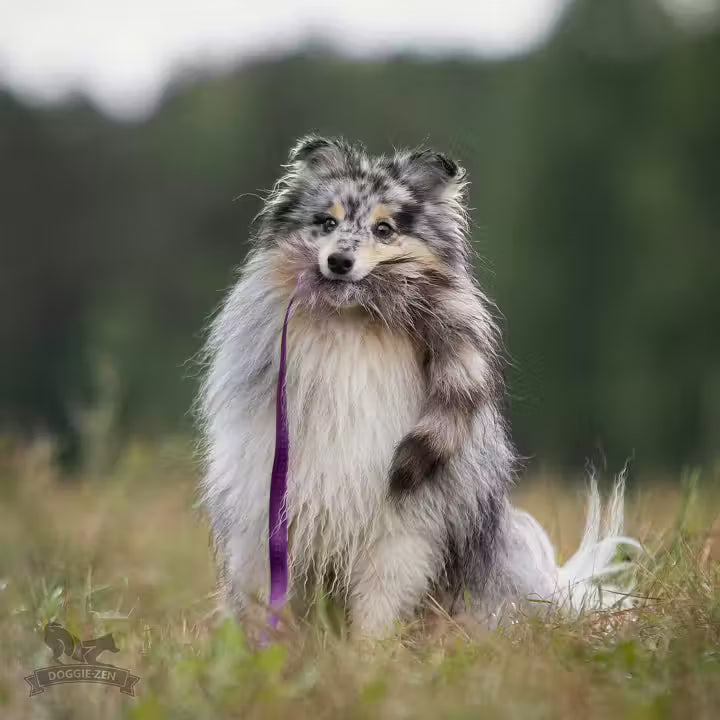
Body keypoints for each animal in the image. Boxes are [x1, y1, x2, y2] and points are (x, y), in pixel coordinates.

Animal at [197, 136, 638, 637]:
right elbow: (264, 602)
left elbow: (376, 611)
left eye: (385, 230)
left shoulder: (402, 527)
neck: (349, 332)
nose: (339, 261)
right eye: (327, 222)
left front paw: (365, 654)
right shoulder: (264, 515)